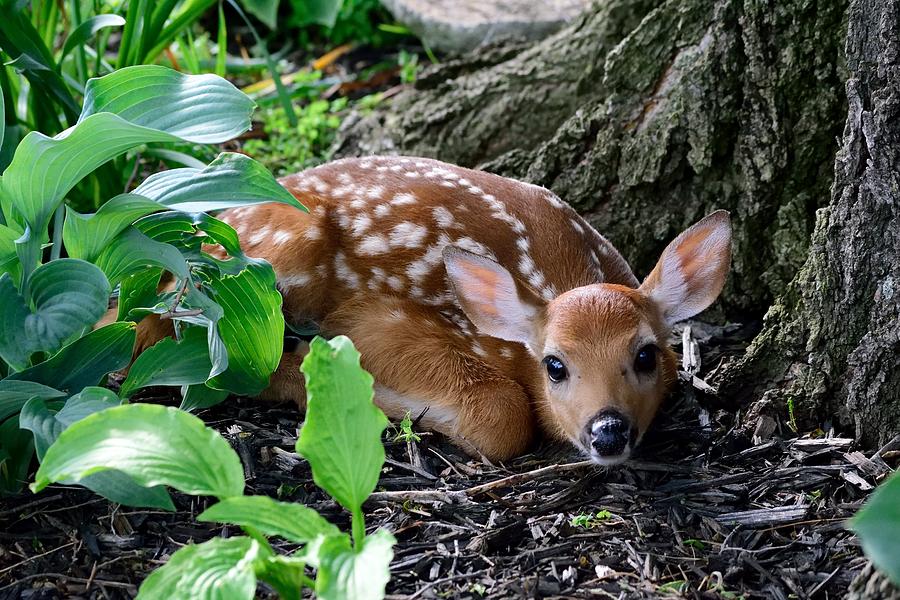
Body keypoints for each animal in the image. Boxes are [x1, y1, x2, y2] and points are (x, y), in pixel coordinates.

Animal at [146, 155, 732, 464]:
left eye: (646, 356)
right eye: (555, 365)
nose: (607, 430)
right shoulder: (376, 320)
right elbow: (503, 416)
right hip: (262, 266)